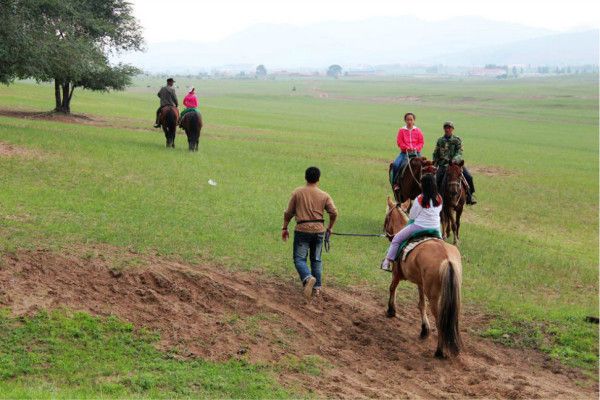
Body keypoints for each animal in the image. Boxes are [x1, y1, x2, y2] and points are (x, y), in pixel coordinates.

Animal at [384, 197, 464, 360]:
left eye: (387, 217)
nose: (387, 234)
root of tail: (447, 259)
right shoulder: (421, 284)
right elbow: (421, 304)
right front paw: (424, 329)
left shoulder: (396, 274)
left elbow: (392, 288)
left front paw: (391, 310)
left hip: (434, 296)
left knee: (440, 320)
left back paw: (440, 351)